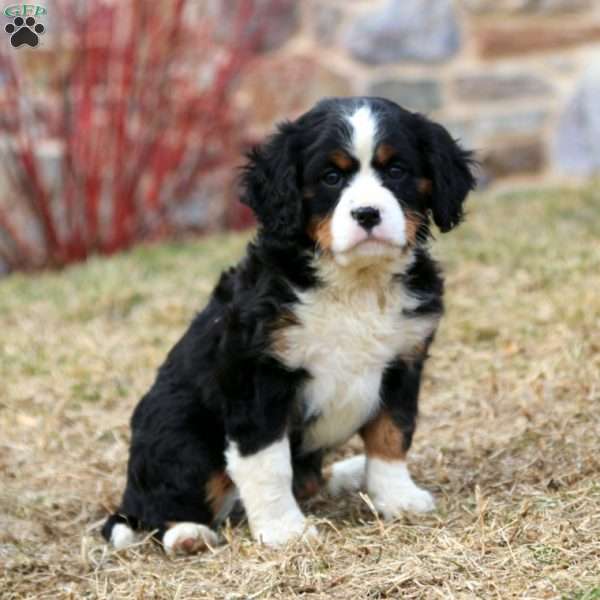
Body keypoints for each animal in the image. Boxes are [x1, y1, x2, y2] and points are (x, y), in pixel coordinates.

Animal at [104, 97, 478, 552]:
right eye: (331, 177)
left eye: (396, 170)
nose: (367, 214)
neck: (355, 285)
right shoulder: (258, 375)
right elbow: (267, 462)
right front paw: (284, 530)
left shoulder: (403, 361)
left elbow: (392, 434)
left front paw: (397, 497)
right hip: (180, 432)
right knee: (162, 505)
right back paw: (187, 533)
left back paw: (349, 473)